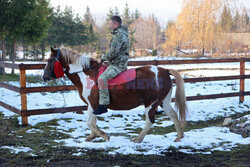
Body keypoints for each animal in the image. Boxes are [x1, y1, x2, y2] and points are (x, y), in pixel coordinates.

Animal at [42, 47, 188, 143]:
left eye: (50, 60)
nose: (44, 77)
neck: (87, 75)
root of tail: (165, 70)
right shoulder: (93, 105)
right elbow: (93, 121)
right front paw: (92, 137)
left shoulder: (92, 104)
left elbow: (89, 122)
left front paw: (104, 136)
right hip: (163, 102)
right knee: (174, 116)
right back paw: (179, 137)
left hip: (151, 104)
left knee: (149, 121)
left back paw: (138, 139)